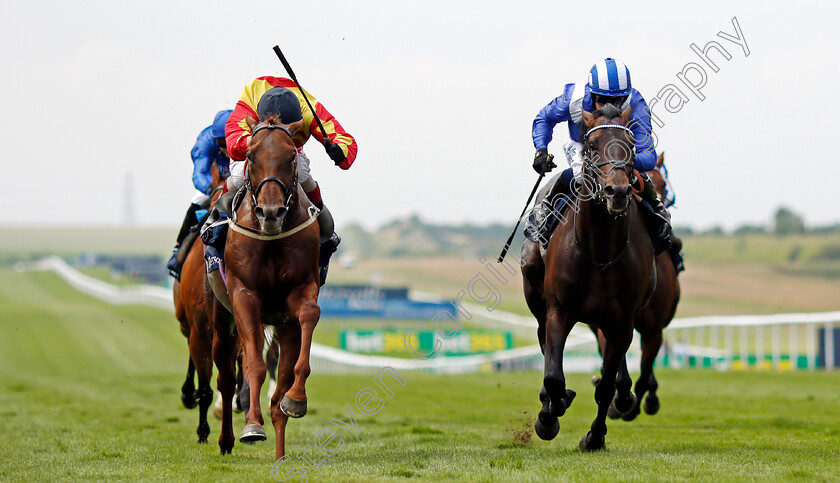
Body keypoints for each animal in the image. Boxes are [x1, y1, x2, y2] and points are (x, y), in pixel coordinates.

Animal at [212, 115, 324, 460]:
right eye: (250, 155)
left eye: (290, 157)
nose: (271, 212)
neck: (272, 238)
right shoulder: (245, 297)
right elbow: (255, 367)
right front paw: (251, 426)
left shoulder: (300, 294)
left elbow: (309, 315)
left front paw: (297, 399)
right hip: (223, 321)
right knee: (231, 371)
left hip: (283, 328)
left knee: (279, 393)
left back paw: (280, 452)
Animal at [524, 104, 656, 452]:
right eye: (592, 145)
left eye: (632, 145)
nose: (618, 191)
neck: (599, 251)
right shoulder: (559, 310)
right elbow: (553, 376)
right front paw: (549, 415)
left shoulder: (623, 320)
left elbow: (606, 385)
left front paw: (595, 436)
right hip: (537, 299)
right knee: (544, 345)